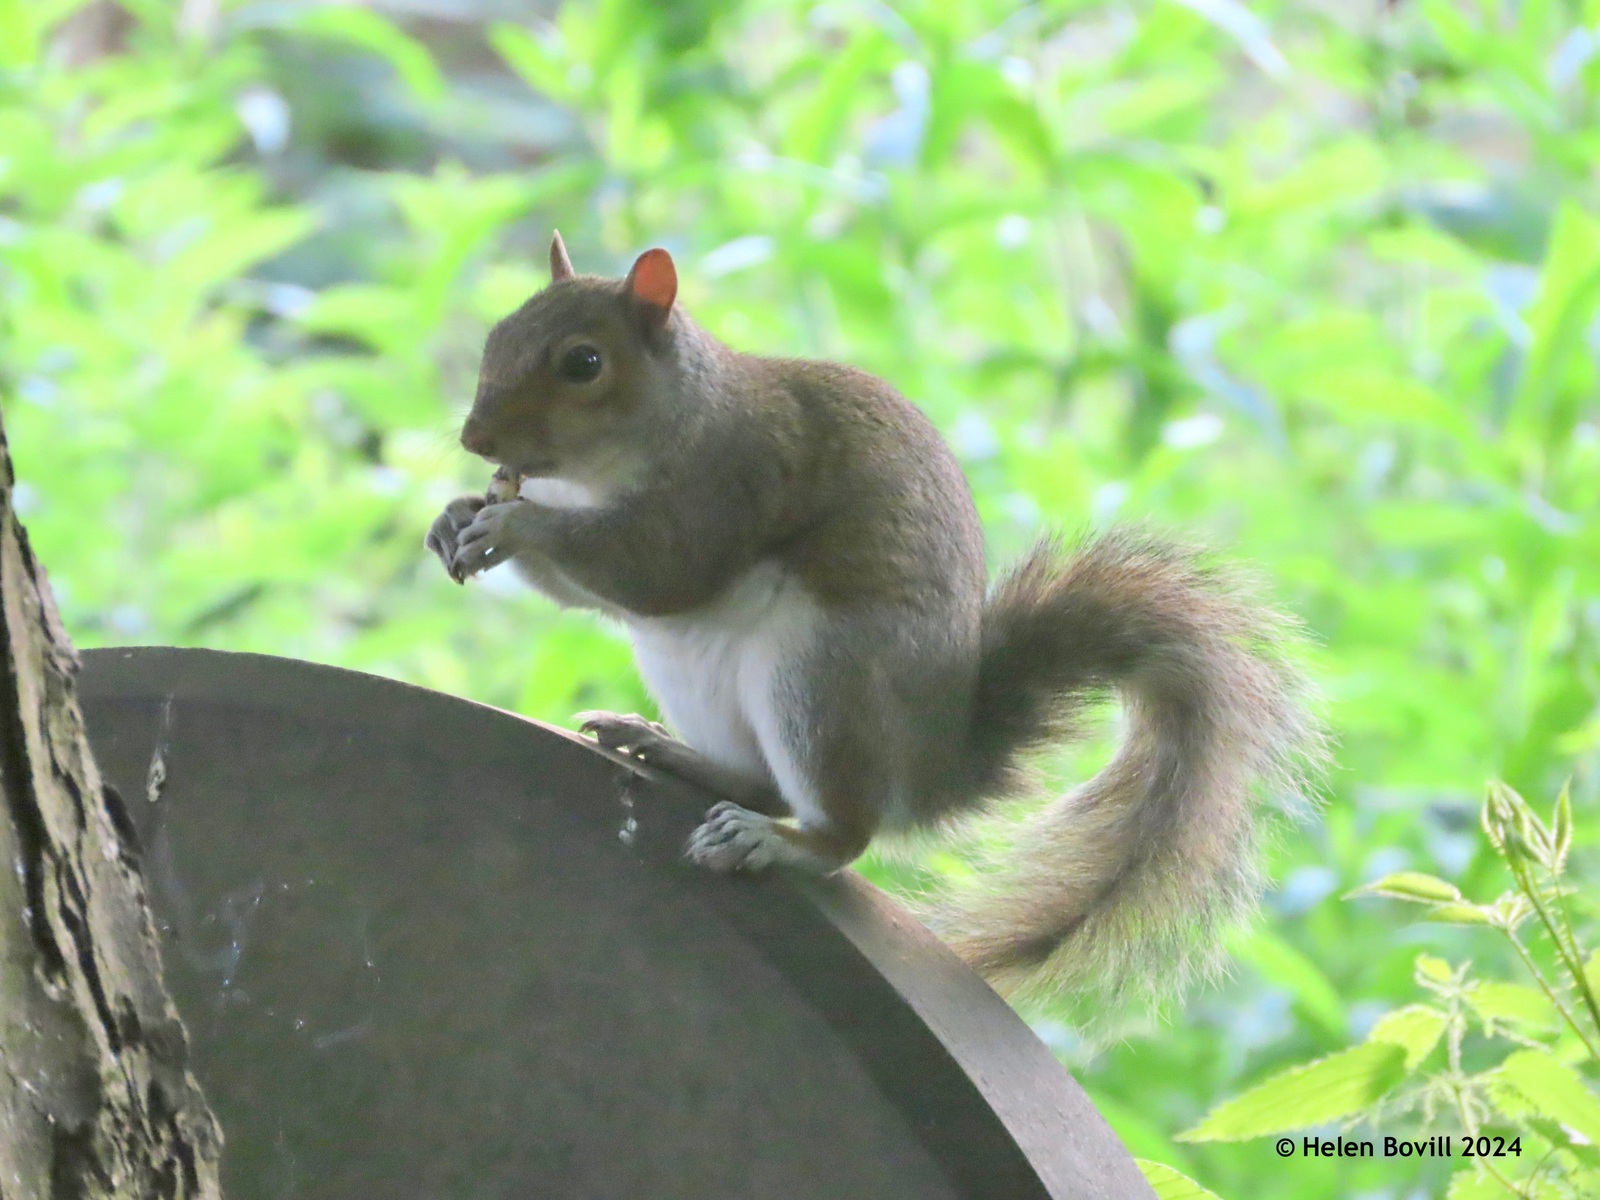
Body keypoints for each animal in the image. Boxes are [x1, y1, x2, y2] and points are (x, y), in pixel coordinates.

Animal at [419, 232, 1318, 1004]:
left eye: (583, 363)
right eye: (499, 332)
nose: (476, 438)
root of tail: (928, 761)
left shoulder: (734, 479)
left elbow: (656, 571)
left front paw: (515, 524)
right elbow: (588, 591)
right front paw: (457, 516)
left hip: (820, 681)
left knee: (840, 832)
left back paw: (774, 841)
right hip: (699, 679)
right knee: (757, 779)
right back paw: (669, 750)